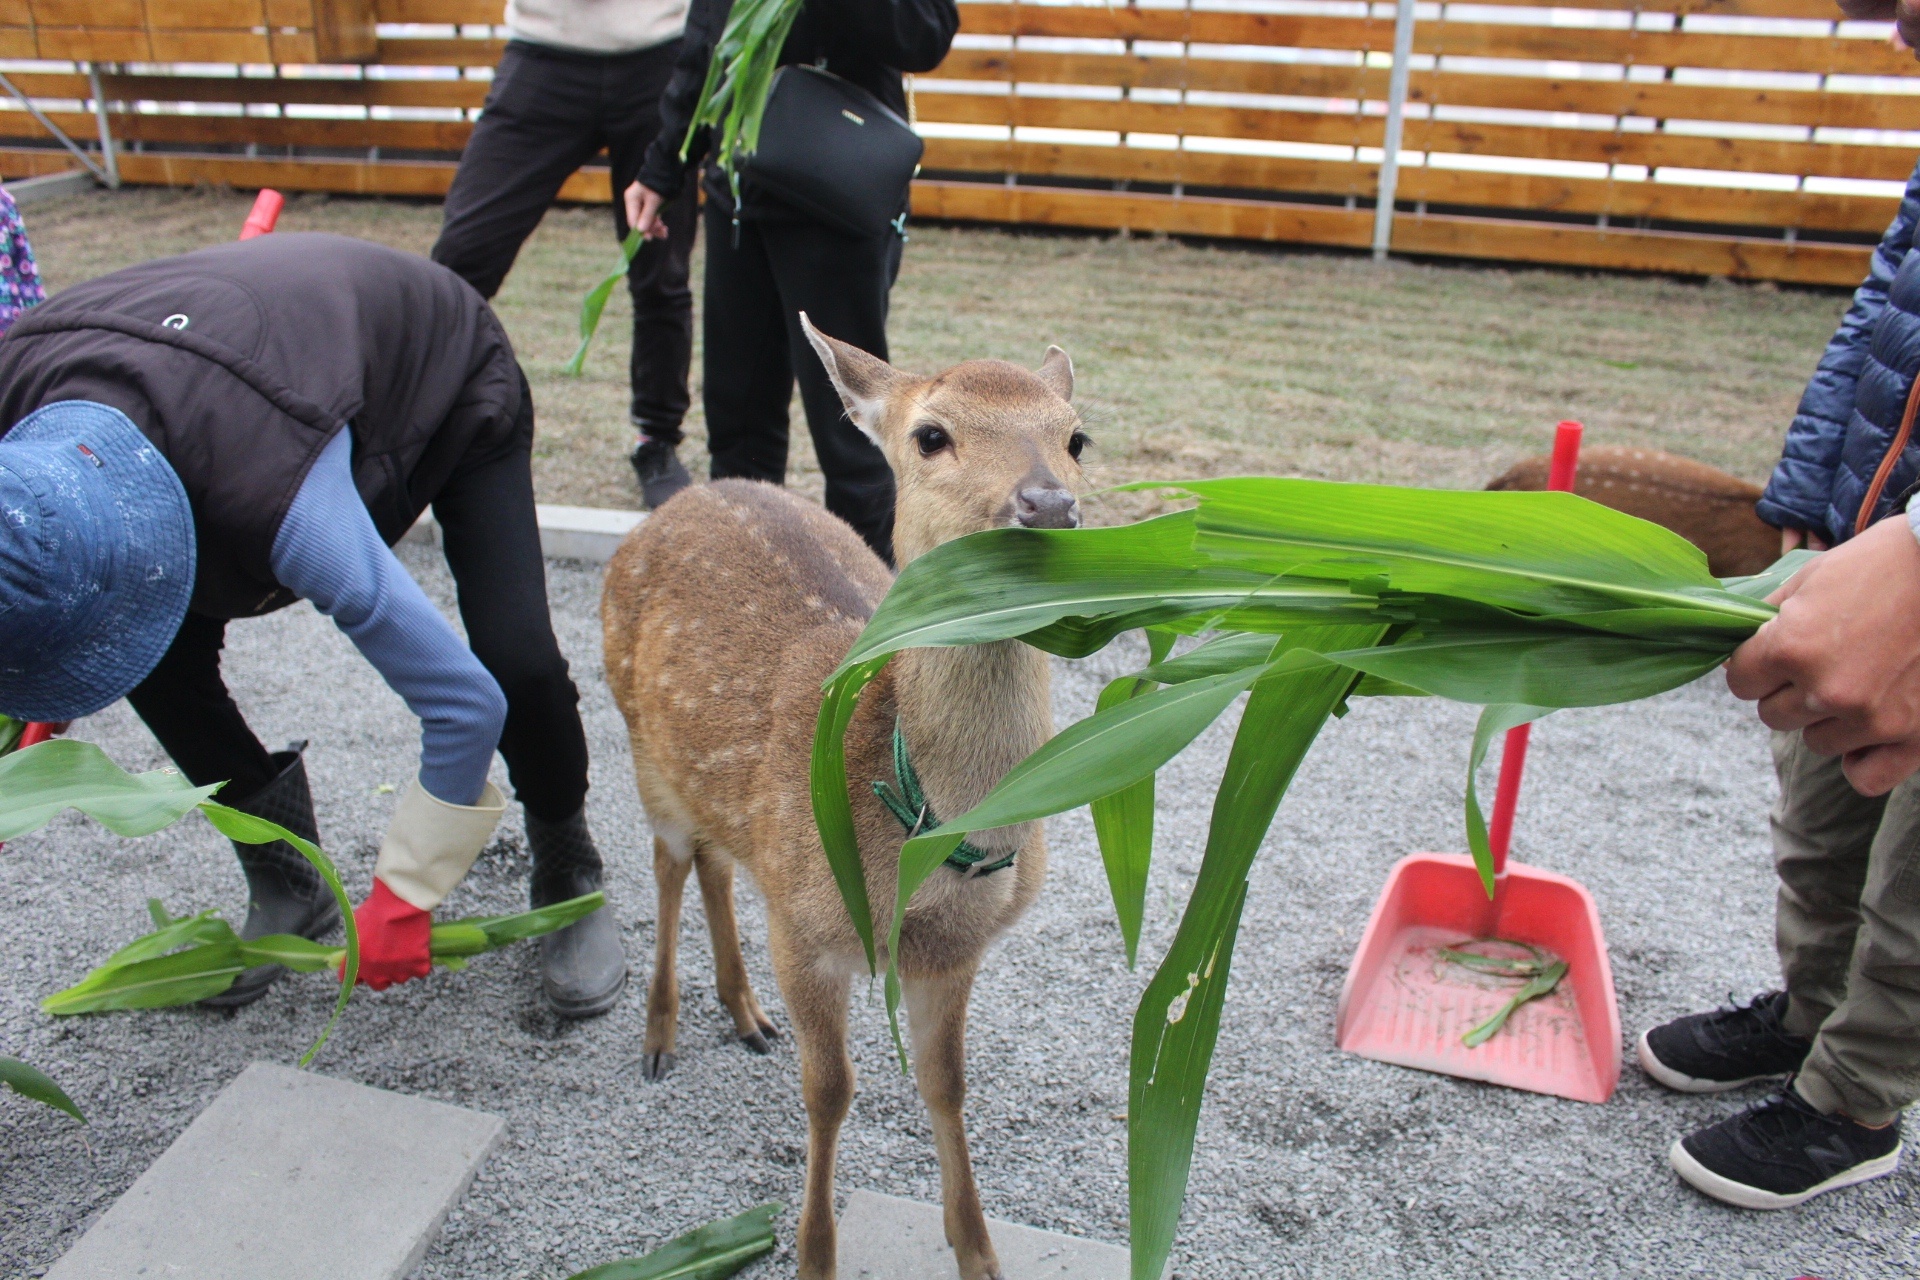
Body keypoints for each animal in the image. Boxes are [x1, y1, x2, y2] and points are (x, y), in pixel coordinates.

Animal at [602, 312, 1082, 1280]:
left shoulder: (953, 953)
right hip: (639, 738)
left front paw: (977, 1251)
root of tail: (673, 505)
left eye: (1076, 437)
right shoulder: (805, 931)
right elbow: (830, 1091)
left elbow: (947, 1084)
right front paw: (813, 1252)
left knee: (717, 860)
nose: (1048, 504)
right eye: (931, 435)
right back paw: (660, 1036)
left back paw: (745, 1014)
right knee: (670, 864)